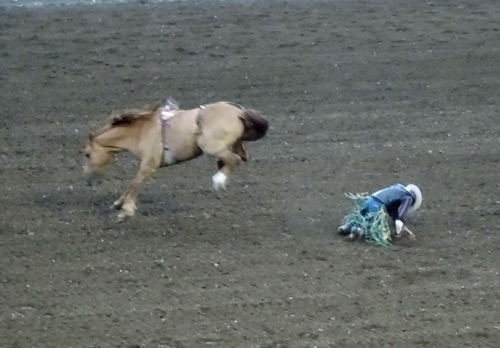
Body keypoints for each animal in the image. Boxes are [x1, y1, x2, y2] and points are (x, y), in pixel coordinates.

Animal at [83, 99, 270, 222]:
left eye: (86, 154)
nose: (88, 179)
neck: (141, 130)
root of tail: (239, 112)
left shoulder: (149, 164)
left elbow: (135, 183)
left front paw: (125, 210)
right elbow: (132, 184)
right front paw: (118, 204)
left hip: (210, 146)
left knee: (234, 159)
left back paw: (219, 180)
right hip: (232, 144)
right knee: (238, 157)